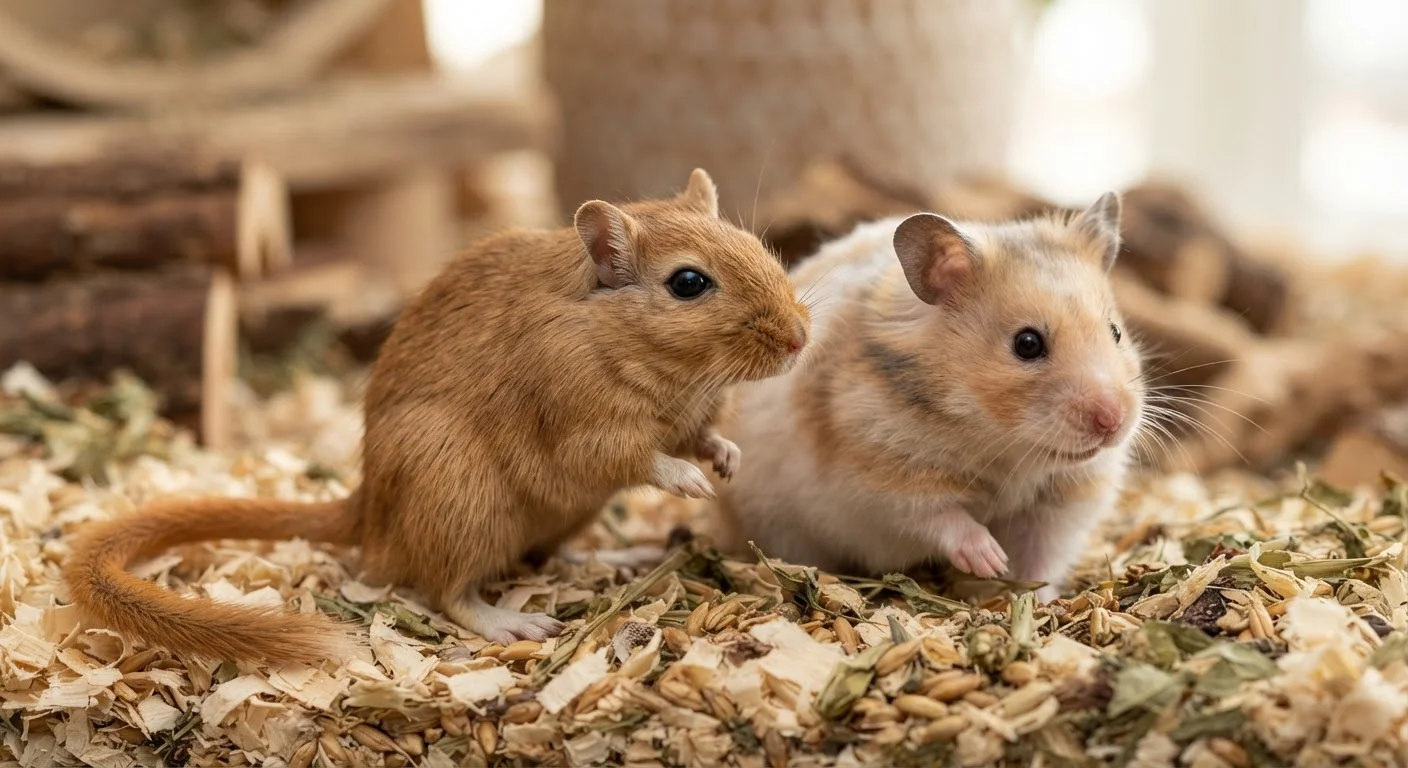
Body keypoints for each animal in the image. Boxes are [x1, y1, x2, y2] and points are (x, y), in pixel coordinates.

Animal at [64, 169, 811, 663]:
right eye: (689, 283)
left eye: (752, 245)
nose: (800, 340)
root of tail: (366, 512)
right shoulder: (586, 426)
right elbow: (640, 457)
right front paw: (693, 481)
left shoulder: (691, 416)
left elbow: (702, 436)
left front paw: (727, 461)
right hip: (463, 498)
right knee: (448, 591)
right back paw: (512, 625)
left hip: (562, 511)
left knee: (549, 552)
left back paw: (619, 553)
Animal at [715, 193, 1144, 603]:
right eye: (1027, 344)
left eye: (1116, 332)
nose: (1113, 421)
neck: (1004, 443)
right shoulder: (881, 482)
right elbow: (941, 517)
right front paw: (991, 560)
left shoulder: (1061, 504)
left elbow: (1040, 560)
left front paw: (1037, 598)